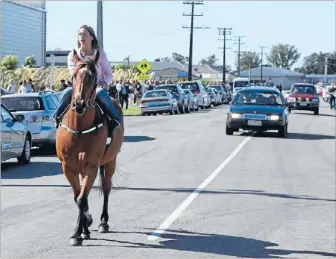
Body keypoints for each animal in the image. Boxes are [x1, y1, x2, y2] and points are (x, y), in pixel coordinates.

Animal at [55, 49, 124, 247]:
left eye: (93, 78)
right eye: (73, 76)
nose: (79, 104)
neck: (79, 128)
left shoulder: (92, 166)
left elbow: (81, 199)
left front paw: (77, 233)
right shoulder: (68, 167)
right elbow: (78, 198)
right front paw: (83, 228)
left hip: (110, 161)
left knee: (107, 188)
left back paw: (103, 222)